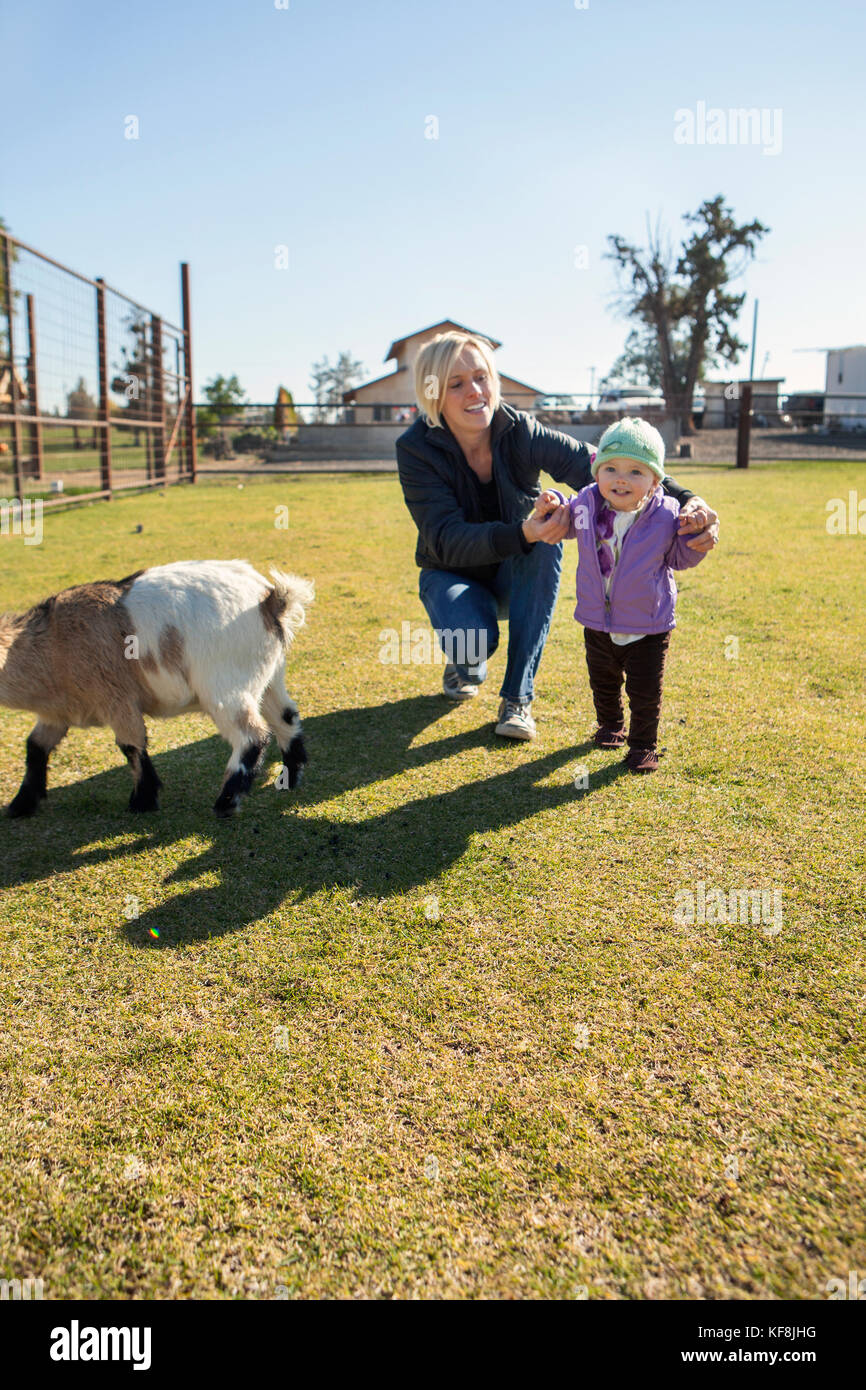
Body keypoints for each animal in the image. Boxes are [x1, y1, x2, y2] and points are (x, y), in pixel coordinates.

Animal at [0, 553, 315, 811]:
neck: (53, 643)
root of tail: (271, 599)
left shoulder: (117, 699)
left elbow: (131, 745)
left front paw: (143, 800)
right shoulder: (57, 714)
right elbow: (35, 745)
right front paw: (22, 803)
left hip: (224, 686)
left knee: (252, 735)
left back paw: (226, 801)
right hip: (270, 675)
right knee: (286, 715)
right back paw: (291, 775)